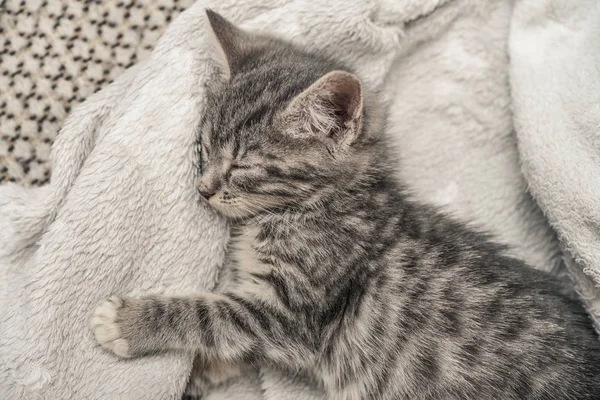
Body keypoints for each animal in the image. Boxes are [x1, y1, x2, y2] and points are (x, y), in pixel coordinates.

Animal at [91, 10, 600, 400]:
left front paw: (128, 322)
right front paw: (198, 374)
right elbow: (235, 343)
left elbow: (212, 315)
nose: (202, 189)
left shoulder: (292, 315)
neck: (318, 206)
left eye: (241, 166)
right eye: (205, 148)